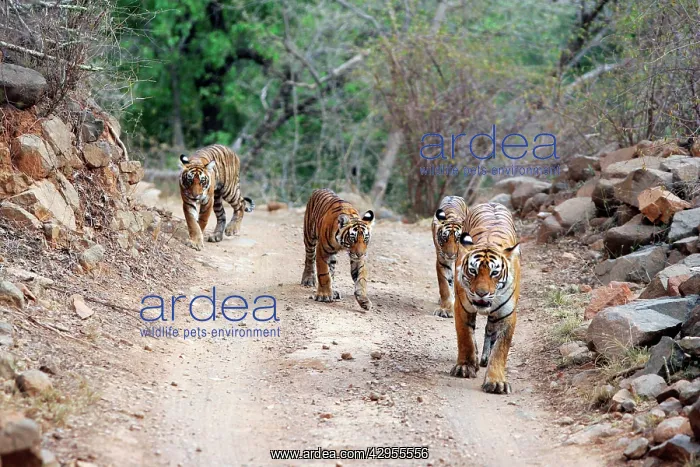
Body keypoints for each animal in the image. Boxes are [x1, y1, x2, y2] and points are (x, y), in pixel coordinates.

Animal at [450, 202, 521, 395]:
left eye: (494, 273)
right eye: (472, 271)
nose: (482, 293)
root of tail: (492, 202)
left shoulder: (507, 314)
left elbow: (500, 349)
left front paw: (496, 381)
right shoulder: (462, 307)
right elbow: (465, 337)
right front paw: (465, 367)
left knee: (490, 330)